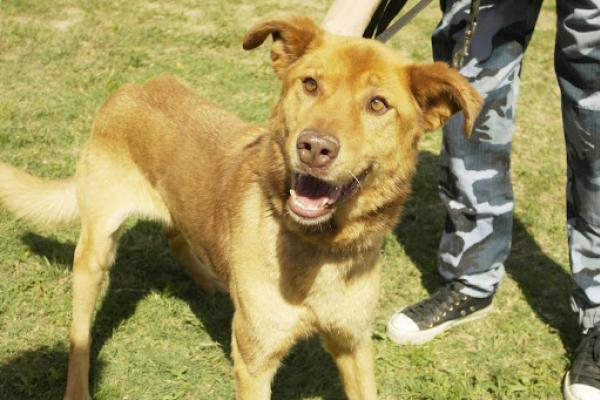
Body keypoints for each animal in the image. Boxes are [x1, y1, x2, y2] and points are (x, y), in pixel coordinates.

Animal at [0, 15, 478, 400]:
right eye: (310, 84)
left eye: (378, 104)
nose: (313, 147)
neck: (317, 248)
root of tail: (128, 90)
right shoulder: (254, 362)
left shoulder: (353, 345)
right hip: (96, 251)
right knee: (79, 332)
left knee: (175, 231)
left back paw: (210, 279)